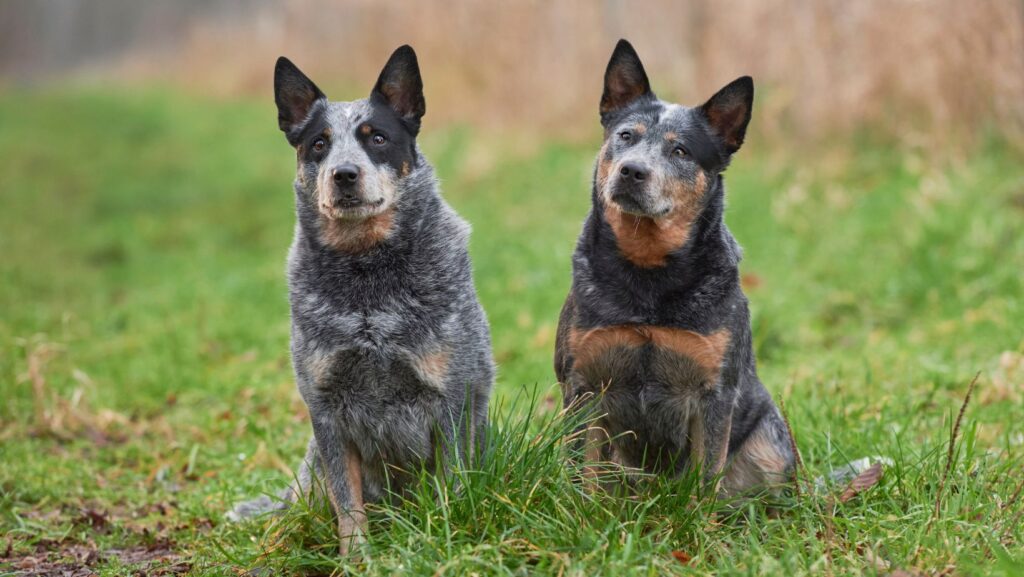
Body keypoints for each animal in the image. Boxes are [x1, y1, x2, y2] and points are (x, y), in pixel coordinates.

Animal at [230, 46, 493, 553]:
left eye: (378, 138)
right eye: (318, 143)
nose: (344, 174)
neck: (367, 280)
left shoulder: (448, 396)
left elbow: (451, 482)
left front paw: (446, 537)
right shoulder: (326, 408)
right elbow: (346, 500)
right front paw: (357, 557)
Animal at [557, 39, 794, 496]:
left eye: (680, 150)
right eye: (625, 136)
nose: (632, 170)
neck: (648, 274)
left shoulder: (714, 393)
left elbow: (706, 478)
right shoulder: (584, 384)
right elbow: (583, 472)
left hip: (771, 444)